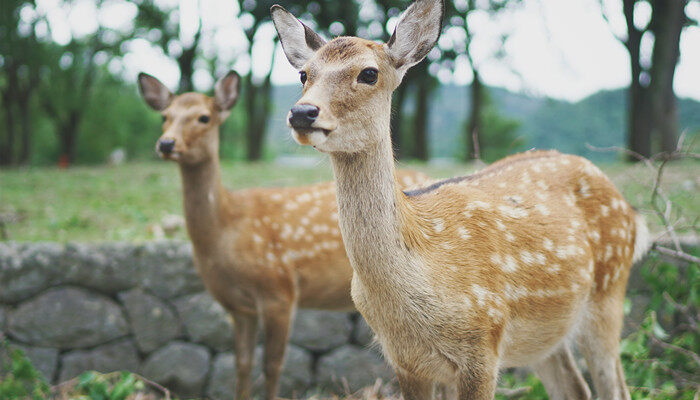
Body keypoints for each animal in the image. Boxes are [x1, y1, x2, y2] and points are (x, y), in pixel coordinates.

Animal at [135, 71, 426, 400]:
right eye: (165, 116)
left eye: (203, 117)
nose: (166, 143)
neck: (226, 230)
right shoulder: (238, 307)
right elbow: (242, 363)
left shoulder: (279, 289)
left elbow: (273, 365)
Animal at [272, 0, 652, 398]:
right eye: (304, 74)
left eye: (369, 73)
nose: (302, 112)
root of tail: (632, 213)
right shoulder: (405, 360)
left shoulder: (483, 341)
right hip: (545, 335)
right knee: (575, 387)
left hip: (608, 293)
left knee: (615, 386)